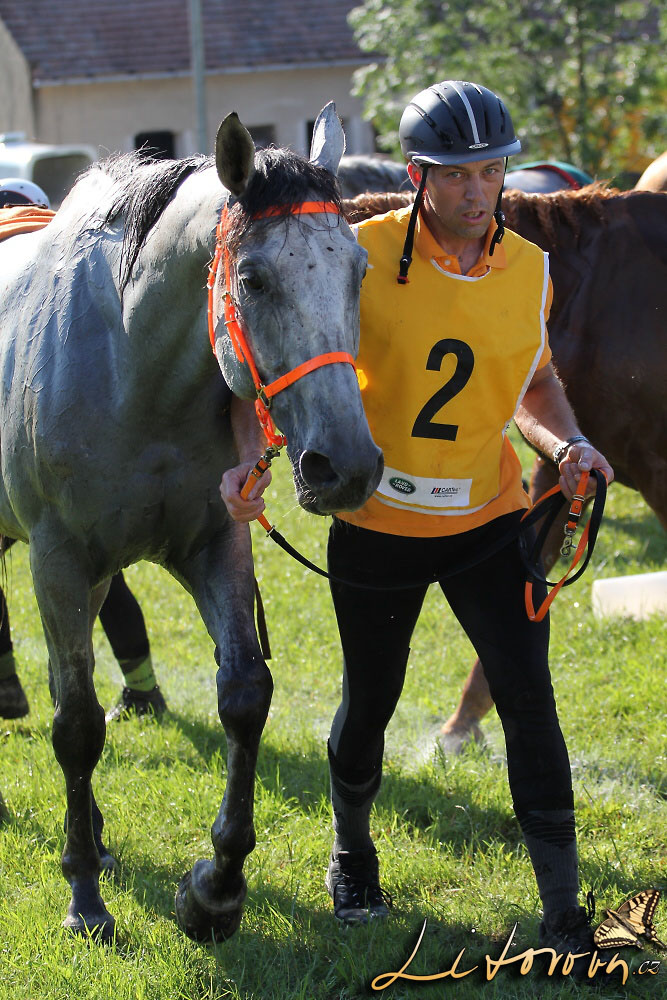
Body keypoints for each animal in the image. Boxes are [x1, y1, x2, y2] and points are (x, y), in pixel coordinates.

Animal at [0, 103, 382, 942]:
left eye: (360, 270)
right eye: (253, 278)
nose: (346, 465)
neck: (129, 363)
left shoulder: (213, 544)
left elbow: (242, 695)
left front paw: (214, 891)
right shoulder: (58, 561)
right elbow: (78, 726)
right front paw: (85, 898)